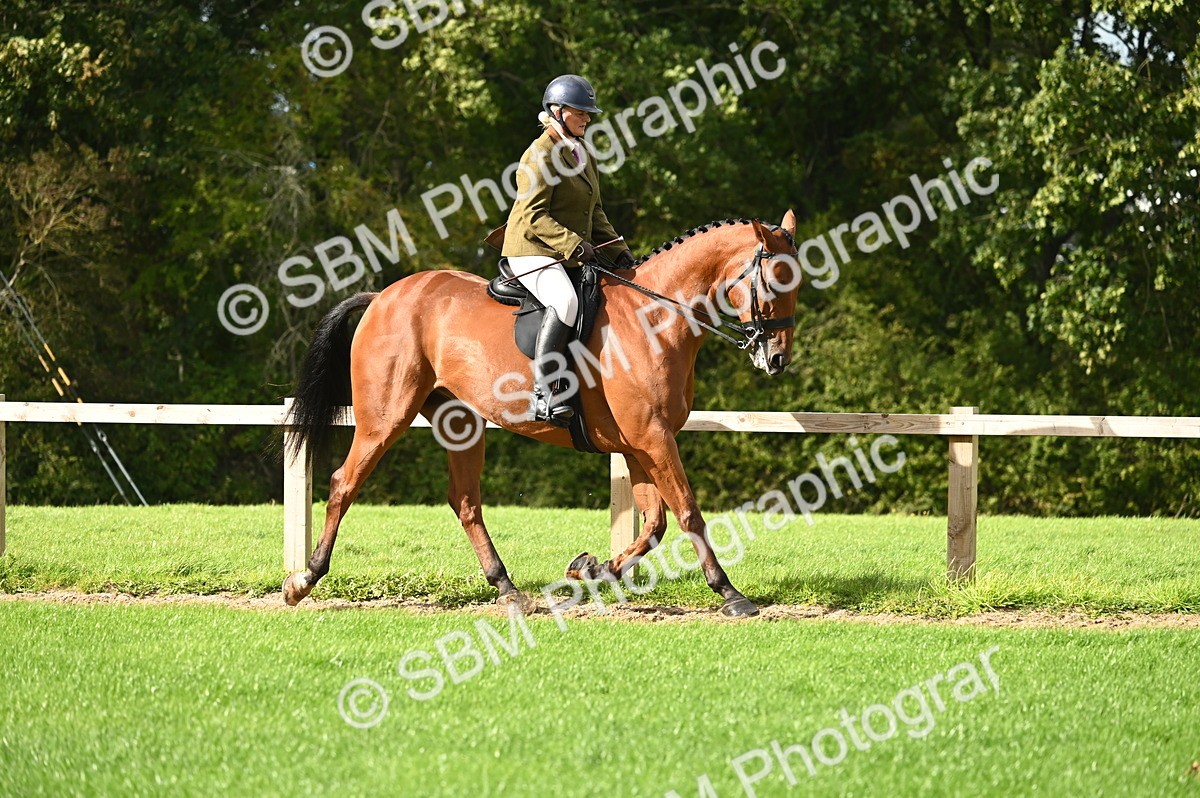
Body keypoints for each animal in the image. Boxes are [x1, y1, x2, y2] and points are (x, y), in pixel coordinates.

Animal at [282, 210, 800, 617]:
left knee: (465, 502)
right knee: (344, 483)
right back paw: (302, 581)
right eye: (775, 281)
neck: (654, 318)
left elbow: (654, 525)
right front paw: (730, 593)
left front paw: (591, 569)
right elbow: (689, 513)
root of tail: (382, 297)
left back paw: (508, 589)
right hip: (385, 417)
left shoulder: (642, 443)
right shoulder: (652, 438)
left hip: (461, 422)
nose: (776, 359)